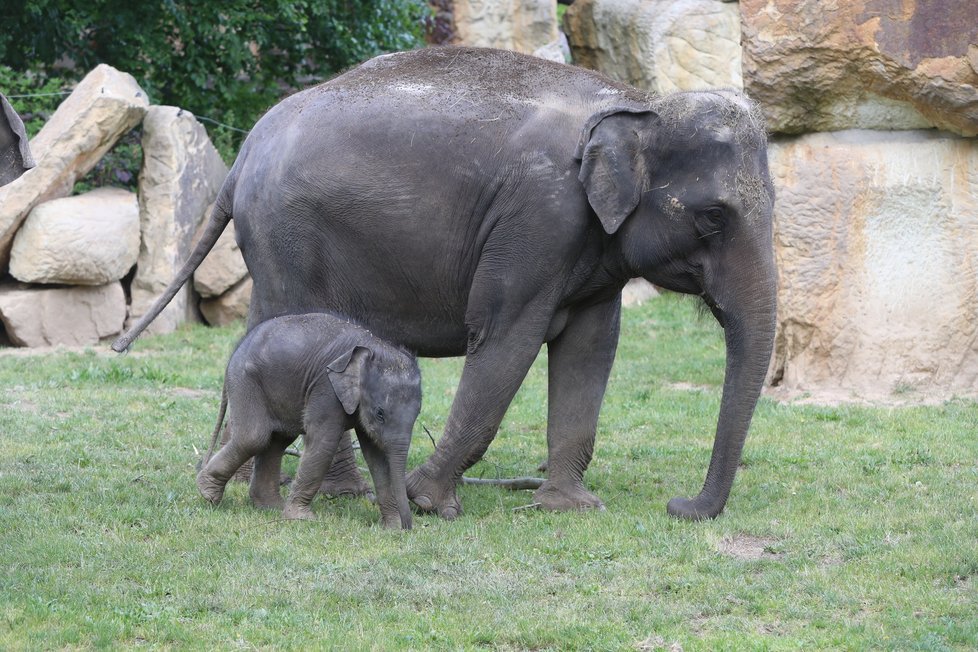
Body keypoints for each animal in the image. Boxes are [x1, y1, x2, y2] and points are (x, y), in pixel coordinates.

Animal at [194, 312, 420, 528]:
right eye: (380, 413)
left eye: (417, 415)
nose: (408, 527)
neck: (375, 347)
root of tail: (235, 350)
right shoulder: (326, 388)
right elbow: (324, 443)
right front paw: (301, 519)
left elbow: (377, 456)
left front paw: (392, 527)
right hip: (246, 380)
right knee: (254, 437)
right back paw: (208, 493)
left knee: (276, 441)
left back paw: (270, 507)